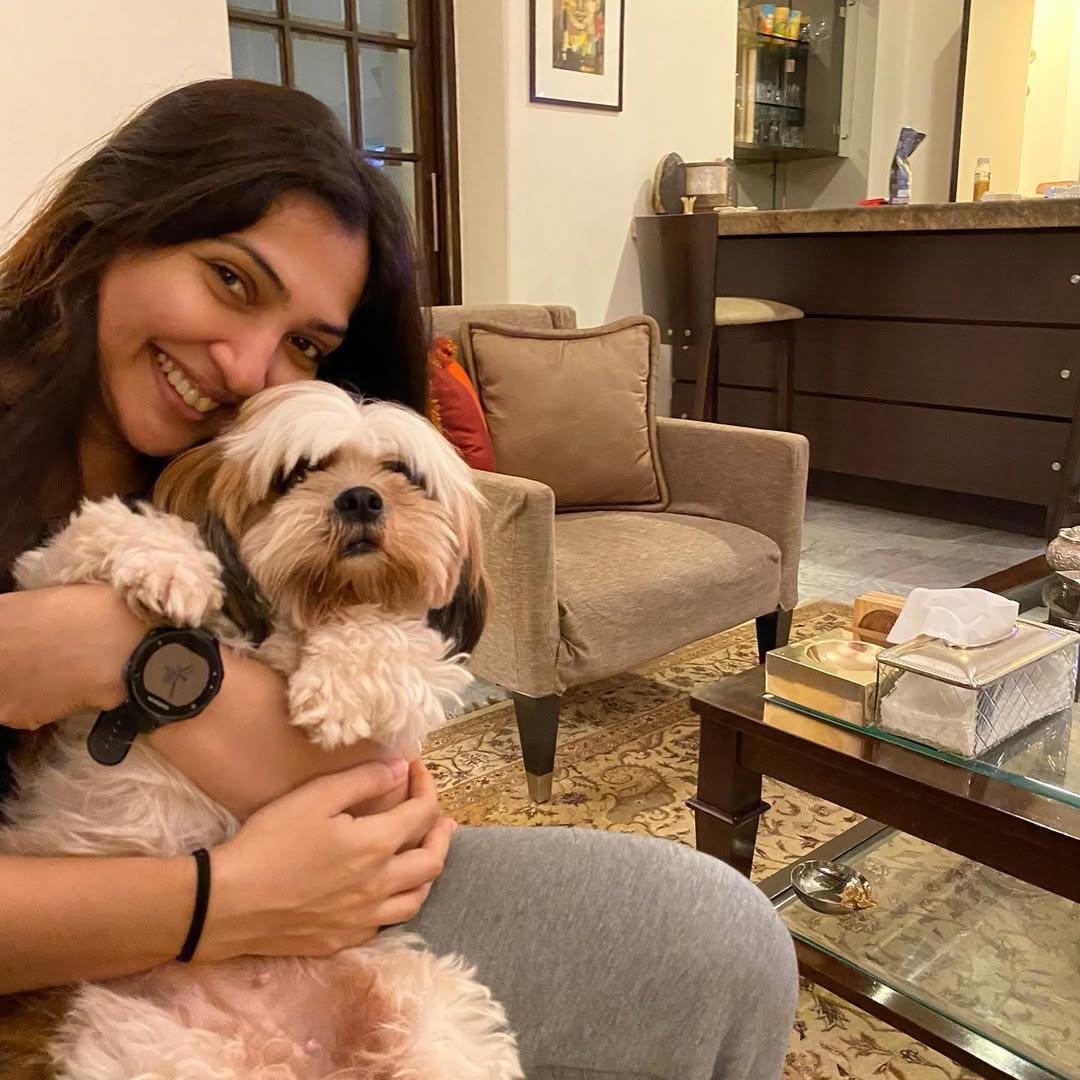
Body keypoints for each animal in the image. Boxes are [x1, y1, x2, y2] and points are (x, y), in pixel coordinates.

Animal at [2, 382, 522, 1080]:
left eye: (403, 473)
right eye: (298, 473)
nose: (361, 497)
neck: (307, 612)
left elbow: (389, 632)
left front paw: (340, 682)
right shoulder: (46, 575)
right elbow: (103, 528)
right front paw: (172, 568)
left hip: (431, 1008)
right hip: (156, 1052)